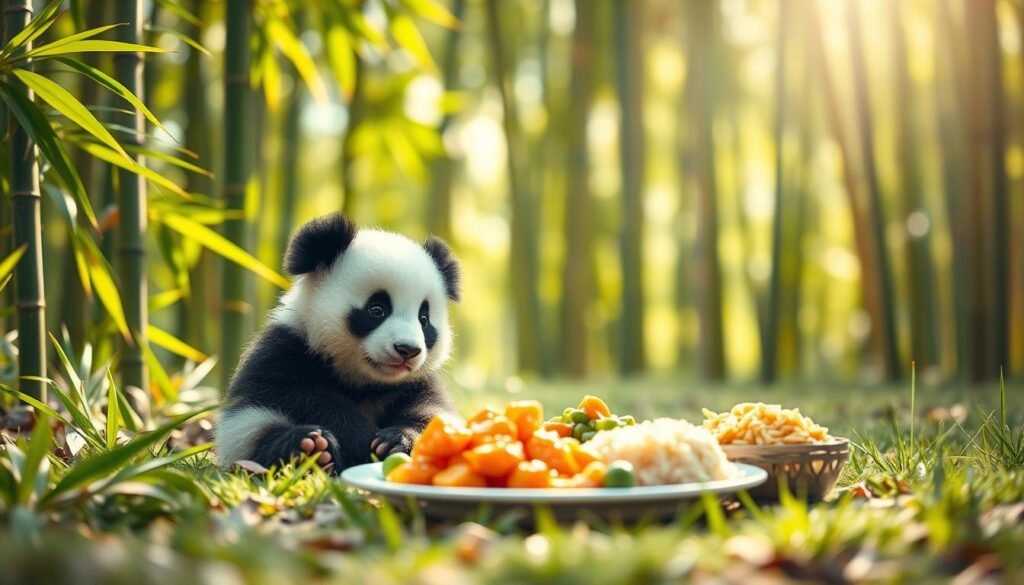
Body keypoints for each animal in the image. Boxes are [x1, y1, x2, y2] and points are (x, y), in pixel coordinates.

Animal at [215, 212, 460, 472]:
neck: (364, 381)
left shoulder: (416, 382)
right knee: (260, 435)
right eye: (377, 310)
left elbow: (431, 411)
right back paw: (310, 449)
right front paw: (363, 439)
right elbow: (298, 397)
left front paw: (397, 440)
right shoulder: (283, 351)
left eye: (424, 319)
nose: (407, 350)